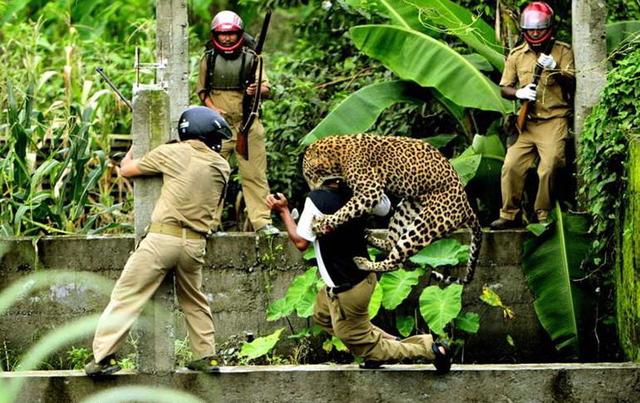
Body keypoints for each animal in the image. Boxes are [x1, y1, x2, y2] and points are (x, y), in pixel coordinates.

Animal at [302, 133, 482, 284]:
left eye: (308, 175)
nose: (311, 190)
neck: (338, 155)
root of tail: (467, 207)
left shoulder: (370, 191)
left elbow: (344, 212)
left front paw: (320, 224)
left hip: (424, 225)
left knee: (396, 262)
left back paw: (363, 263)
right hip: (406, 210)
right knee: (391, 243)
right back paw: (369, 236)